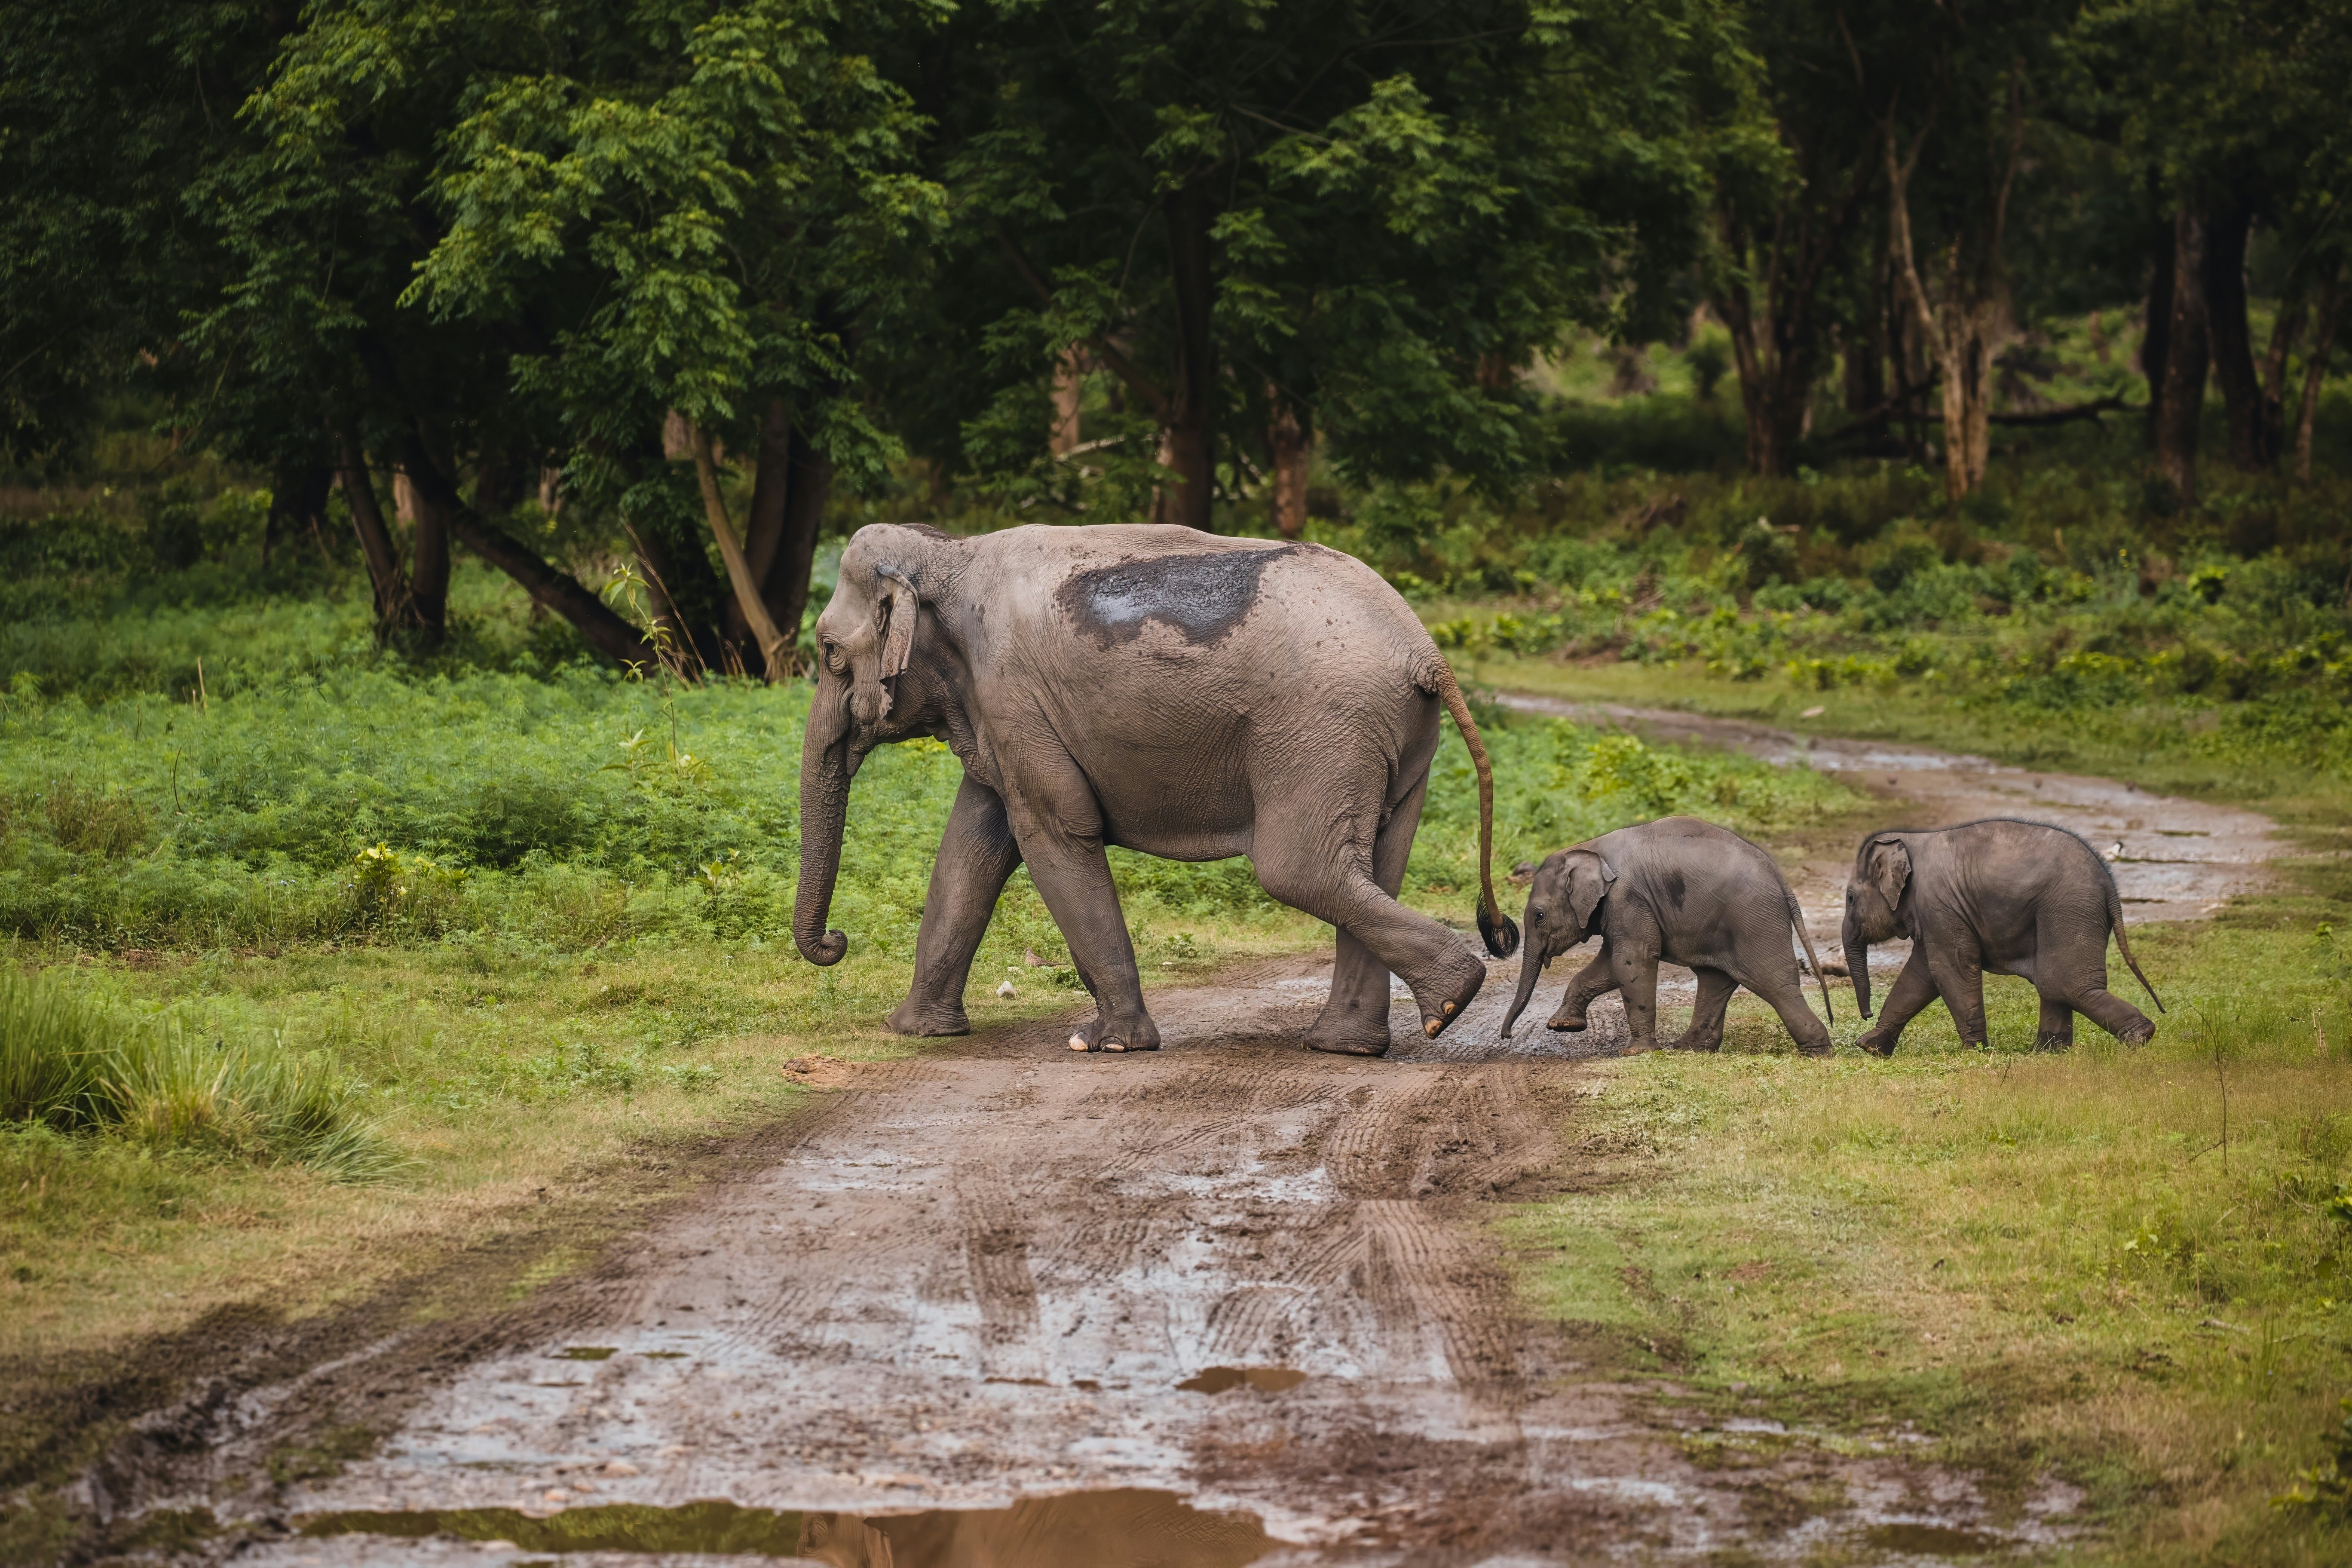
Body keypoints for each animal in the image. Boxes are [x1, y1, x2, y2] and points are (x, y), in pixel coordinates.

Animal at [792, 522, 1519, 1056]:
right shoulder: (999, 712)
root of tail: (1423, 649)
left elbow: (1054, 831)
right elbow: (975, 846)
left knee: (1300, 869)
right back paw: (1367, 1039)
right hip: (1392, 736)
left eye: (829, 654)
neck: (949, 552)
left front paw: (1107, 1045)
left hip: (1324, 728)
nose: (836, 942)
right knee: (1375, 865)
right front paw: (913, 1032)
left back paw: (1452, 998)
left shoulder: (1013, 695)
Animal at [1497, 816, 1835, 1055]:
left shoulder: (1628, 897)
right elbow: (1611, 964)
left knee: (1775, 982)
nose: (1507, 1035)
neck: (1590, 849)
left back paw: (1817, 1052)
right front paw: (1564, 1026)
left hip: (1755, 920)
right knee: (1716, 980)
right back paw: (1689, 1048)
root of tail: (1780, 877)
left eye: (1539, 916)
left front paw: (1636, 1053)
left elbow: (1633, 960)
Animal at [1841, 818, 2164, 1056]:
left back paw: (2140, 1037)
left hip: (2070, 909)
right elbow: (1922, 974)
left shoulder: (1938, 905)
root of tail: (2110, 885)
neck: (1908, 841)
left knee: (2064, 983)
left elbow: (1950, 968)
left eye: (1850, 899)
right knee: (2054, 983)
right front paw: (1870, 1047)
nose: (1866, 1014)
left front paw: (1974, 1052)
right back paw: (2047, 1052)